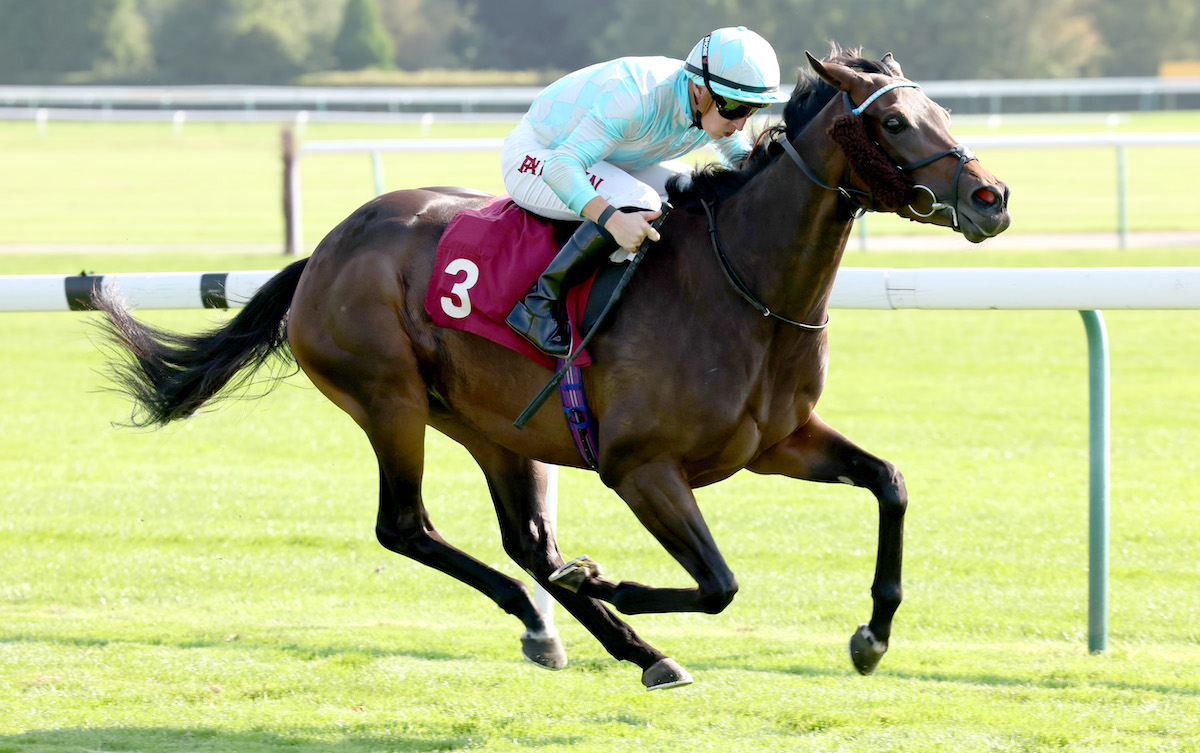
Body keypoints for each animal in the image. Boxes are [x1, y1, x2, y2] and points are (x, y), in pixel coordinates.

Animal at [96, 48, 1012, 690]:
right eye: (894, 125)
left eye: (941, 108)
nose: (992, 197)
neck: (740, 288)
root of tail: (325, 248)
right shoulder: (640, 466)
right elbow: (717, 582)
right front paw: (615, 583)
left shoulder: (778, 442)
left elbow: (889, 481)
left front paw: (873, 635)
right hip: (390, 400)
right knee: (408, 526)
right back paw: (563, 621)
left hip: (495, 427)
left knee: (529, 542)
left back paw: (610, 640)